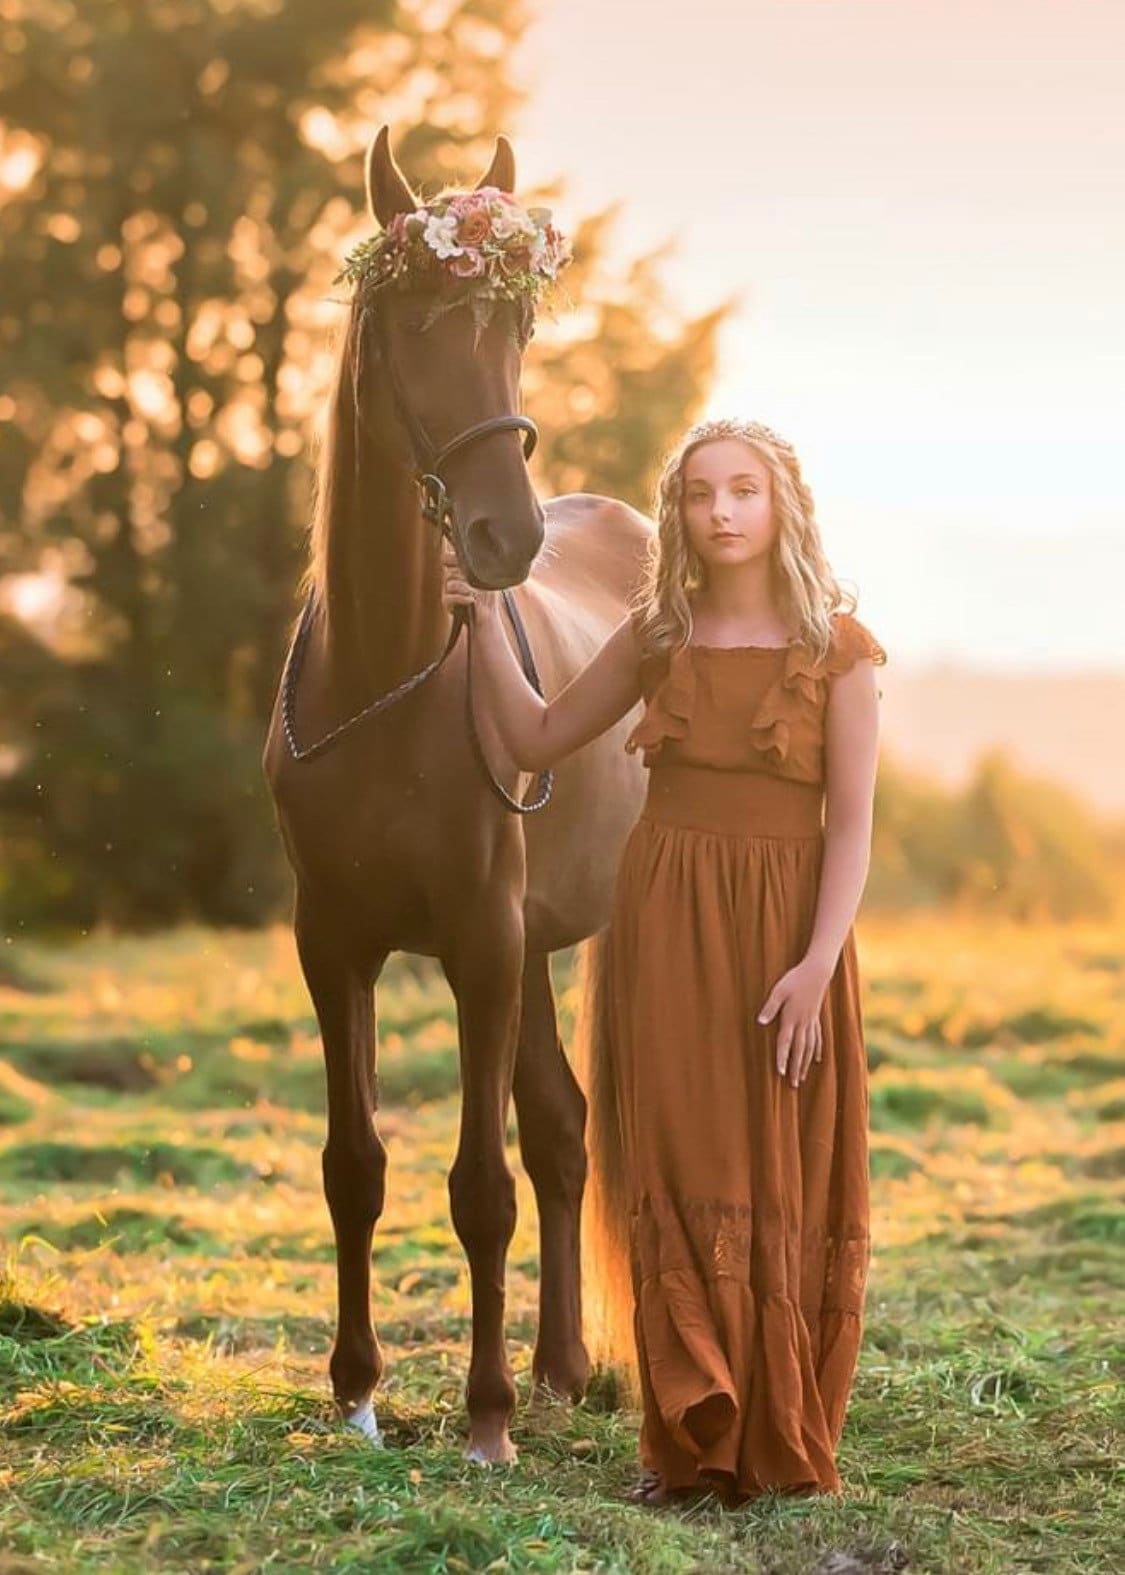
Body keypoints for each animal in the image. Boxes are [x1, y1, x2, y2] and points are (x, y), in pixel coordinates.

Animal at [264, 126, 649, 1461]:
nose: (505, 539)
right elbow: (354, 1165)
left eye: (516, 327)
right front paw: (358, 1393)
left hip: (536, 941)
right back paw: (562, 1365)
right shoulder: (334, 944)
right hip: (528, 949)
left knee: (554, 1137)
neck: (386, 675)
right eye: (411, 323)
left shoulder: (480, 939)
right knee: (564, 1127)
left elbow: (480, 1186)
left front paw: (483, 1417)